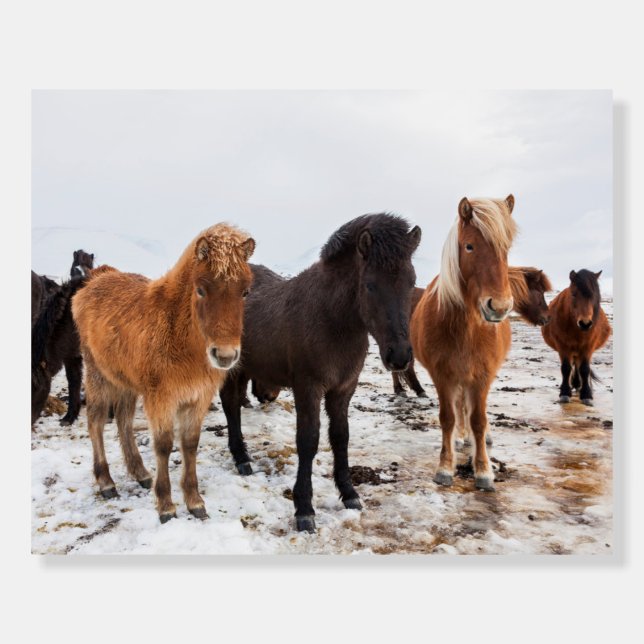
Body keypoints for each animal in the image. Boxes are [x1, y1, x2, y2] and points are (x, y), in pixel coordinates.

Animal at [72, 225, 255, 522]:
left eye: (245, 292)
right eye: (201, 289)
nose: (225, 355)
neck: (178, 333)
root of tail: (95, 280)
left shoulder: (198, 398)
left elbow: (189, 444)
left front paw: (194, 501)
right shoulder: (161, 399)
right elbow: (164, 445)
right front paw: (166, 505)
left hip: (126, 382)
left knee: (123, 420)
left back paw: (140, 473)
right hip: (98, 374)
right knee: (96, 422)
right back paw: (106, 482)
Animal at [219, 214, 421, 532]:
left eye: (411, 282)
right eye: (370, 285)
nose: (399, 356)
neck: (331, 319)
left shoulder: (343, 389)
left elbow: (340, 436)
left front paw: (349, 494)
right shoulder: (308, 388)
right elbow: (308, 440)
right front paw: (304, 508)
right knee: (230, 406)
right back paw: (241, 459)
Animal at [410, 195, 517, 492]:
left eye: (506, 248)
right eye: (469, 246)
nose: (499, 307)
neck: (467, 329)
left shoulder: (482, 376)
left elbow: (478, 421)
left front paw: (484, 471)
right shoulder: (443, 375)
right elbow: (448, 417)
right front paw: (445, 467)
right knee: (459, 409)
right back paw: (460, 436)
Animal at [541, 269, 611, 405]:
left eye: (594, 295)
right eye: (573, 294)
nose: (585, 323)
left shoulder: (588, 346)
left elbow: (584, 369)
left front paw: (586, 395)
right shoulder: (563, 346)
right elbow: (566, 368)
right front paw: (564, 393)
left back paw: (578, 384)